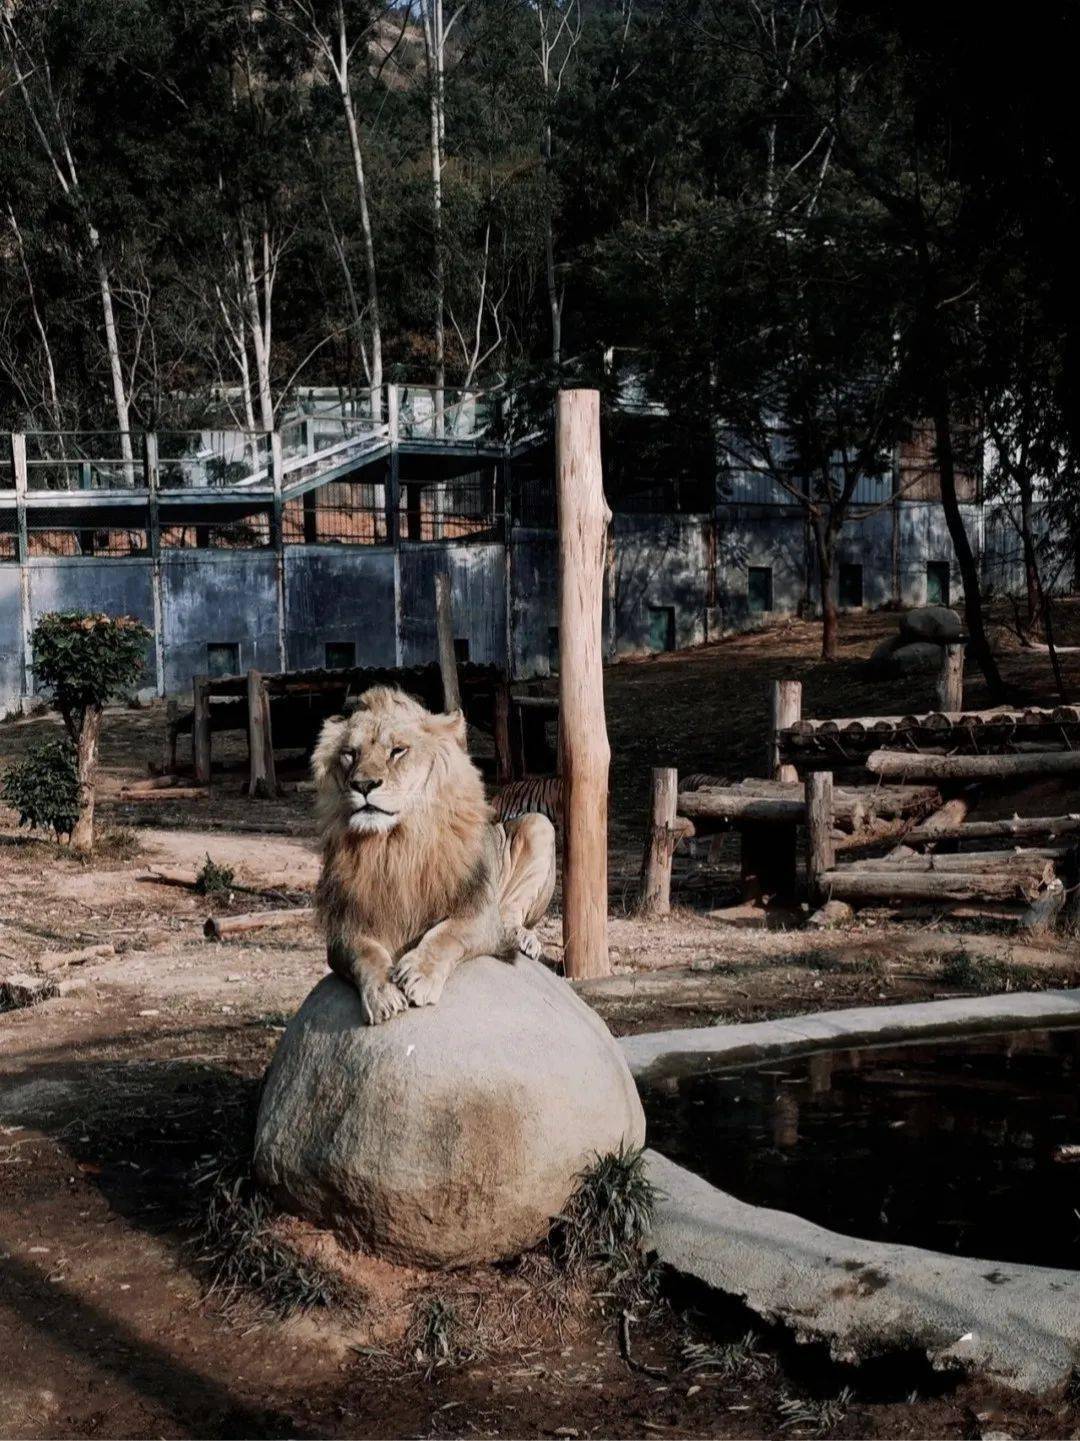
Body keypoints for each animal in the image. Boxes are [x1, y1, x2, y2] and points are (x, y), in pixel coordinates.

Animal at [310, 685, 556, 1025]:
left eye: (397, 751)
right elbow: (364, 953)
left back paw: (522, 938)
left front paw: (419, 975)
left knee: (511, 913)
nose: (363, 784)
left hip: (539, 825)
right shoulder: (343, 928)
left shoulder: (479, 913)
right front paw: (383, 993)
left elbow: (448, 933)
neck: (395, 845)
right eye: (350, 753)